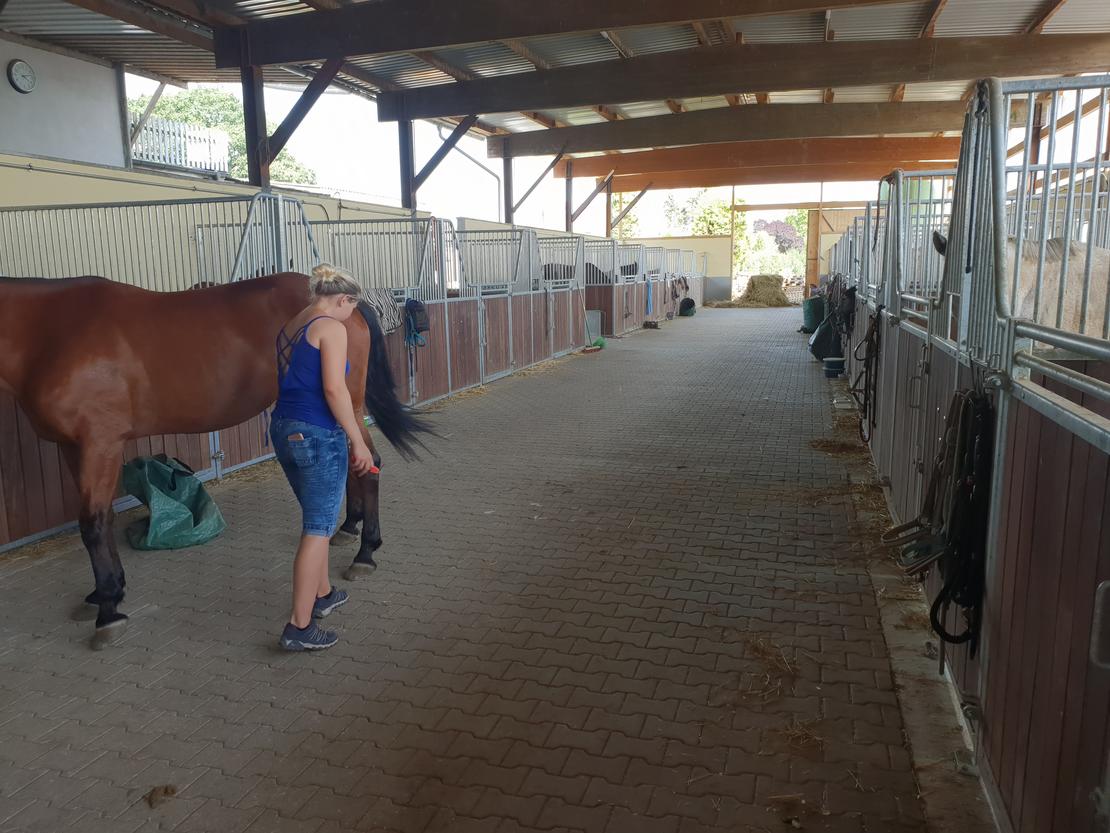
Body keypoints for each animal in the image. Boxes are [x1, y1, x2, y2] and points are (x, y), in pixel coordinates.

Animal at [0, 273, 426, 649]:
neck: (51, 332)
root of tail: (349, 305)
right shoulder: (73, 447)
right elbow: (96, 523)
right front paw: (105, 593)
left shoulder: (99, 444)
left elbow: (93, 524)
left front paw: (108, 610)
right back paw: (348, 527)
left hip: (347, 404)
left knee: (368, 465)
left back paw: (365, 553)